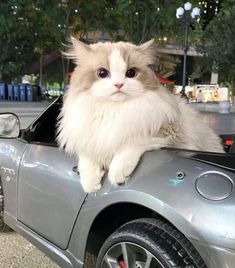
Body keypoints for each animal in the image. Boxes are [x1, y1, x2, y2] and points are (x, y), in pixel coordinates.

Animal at [57, 37, 224, 193]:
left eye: (131, 73)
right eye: (102, 73)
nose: (118, 84)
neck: (113, 110)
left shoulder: (165, 133)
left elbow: (128, 144)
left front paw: (117, 175)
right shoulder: (87, 137)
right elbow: (87, 159)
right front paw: (91, 185)